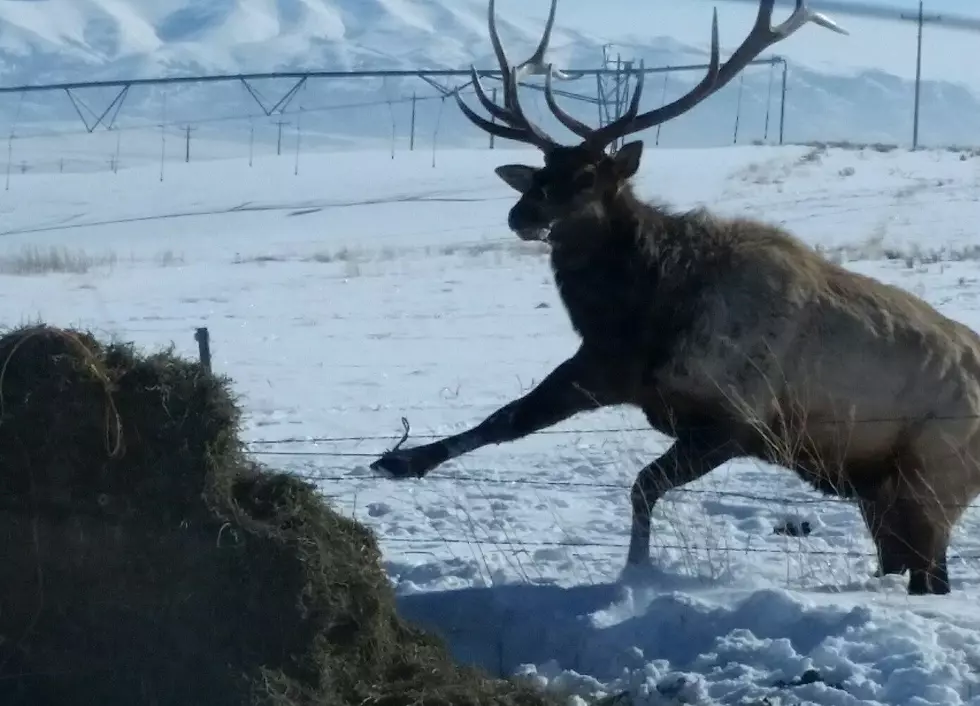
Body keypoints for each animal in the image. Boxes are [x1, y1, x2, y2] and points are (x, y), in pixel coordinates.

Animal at [370, 0, 980, 592]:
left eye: (588, 177)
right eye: (542, 170)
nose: (522, 215)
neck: (647, 313)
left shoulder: (734, 422)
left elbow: (642, 485)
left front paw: (636, 571)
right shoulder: (604, 366)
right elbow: (506, 418)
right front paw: (400, 461)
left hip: (936, 478)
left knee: (931, 577)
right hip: (883, 492)